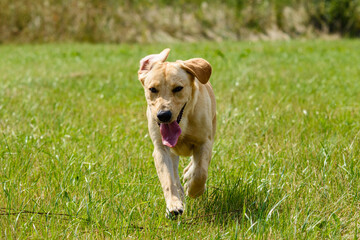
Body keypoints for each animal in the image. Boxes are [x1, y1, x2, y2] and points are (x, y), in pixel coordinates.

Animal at [138, 48, 217, 218]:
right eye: (152, 89)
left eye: (178, 88)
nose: (163, 115)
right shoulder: (161, 149)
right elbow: (168, 179)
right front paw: (174, 205)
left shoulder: (204, 142)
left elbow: (201, 172)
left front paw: (193, 189)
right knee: (174, 174)